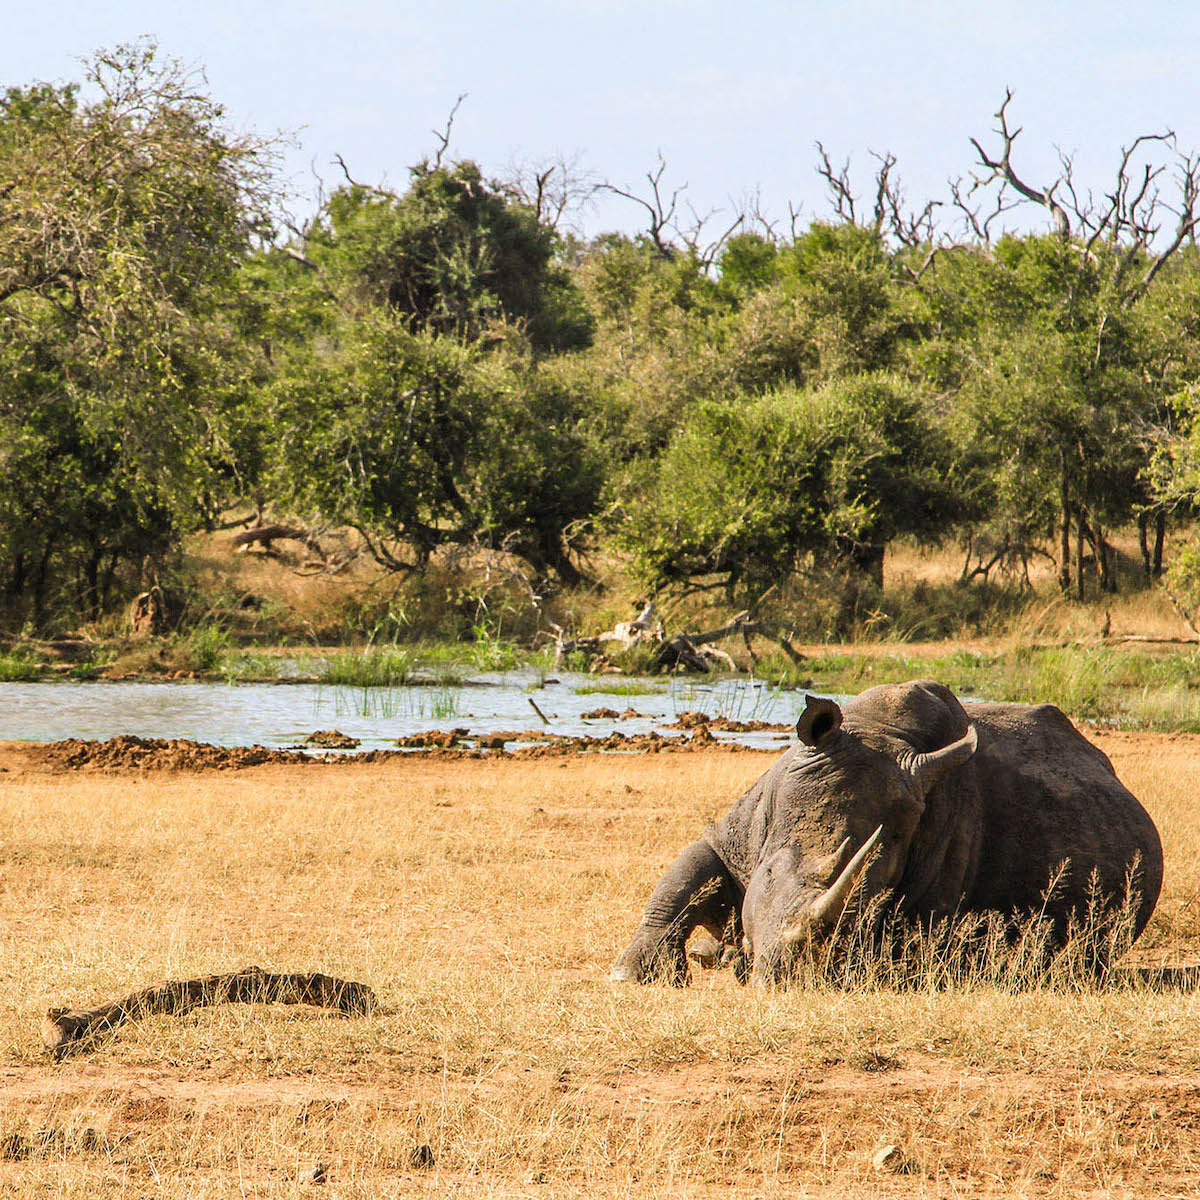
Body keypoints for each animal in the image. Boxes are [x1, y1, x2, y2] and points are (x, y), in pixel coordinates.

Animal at [612, 681, 1162, 986]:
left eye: (877, 892)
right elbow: (685, 875)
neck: (875, 732)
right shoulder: (740, 830)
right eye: (767, 876)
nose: (795, 971)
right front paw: (632, 974)